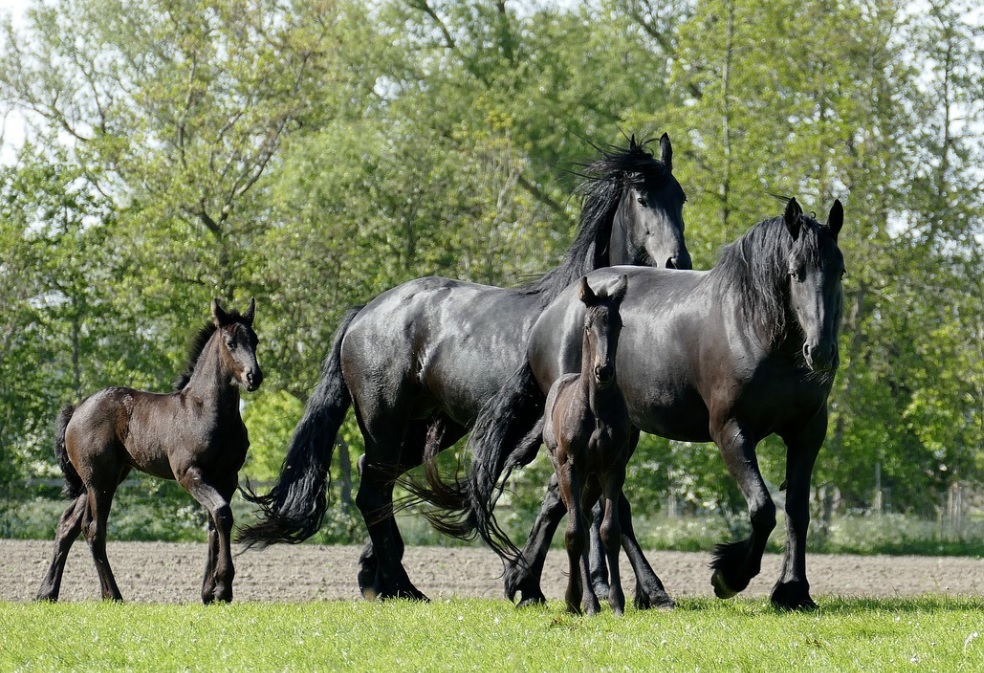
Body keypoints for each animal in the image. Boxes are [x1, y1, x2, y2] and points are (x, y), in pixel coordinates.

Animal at [36, 299, 262, 604]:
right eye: (230, 343)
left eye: (255, 341)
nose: (254, 376)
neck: (206, 410)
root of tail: (77, 410)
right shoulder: (189, 474)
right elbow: (223, 514)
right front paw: (223, 588)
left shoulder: (227, 477)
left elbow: (214, 525)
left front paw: (209, 592)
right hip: (99, 481)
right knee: (94, 529)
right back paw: (112, 595)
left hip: (102, 479)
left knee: (68, 525)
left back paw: (47, 592)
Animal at [544, 275, 631, 615]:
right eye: (588, 326)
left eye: (618, 324)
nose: (603, 371)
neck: (596, 409)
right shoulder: (571, 465)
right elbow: (574, 533)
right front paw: (574, 600)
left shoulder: (613, 467)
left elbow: (609, 531)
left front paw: (617, 603)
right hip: (567, 470)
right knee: (576, 521)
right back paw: (584, 600)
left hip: (592, 480)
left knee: (584, 514)